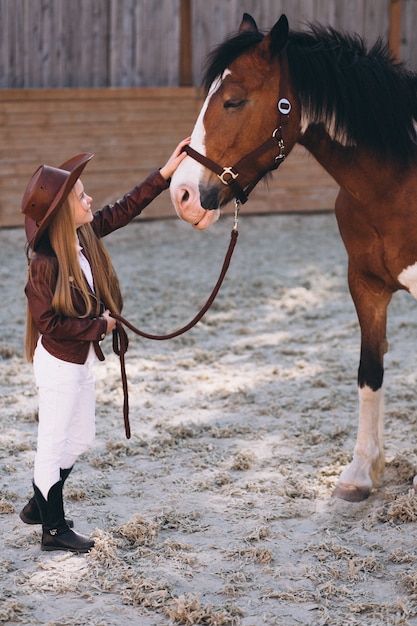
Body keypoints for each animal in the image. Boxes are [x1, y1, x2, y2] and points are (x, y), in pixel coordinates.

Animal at [169, 13, 417, 502]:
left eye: (234, 101)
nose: (182, 194)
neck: (399, 183)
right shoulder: (366, 286)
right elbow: (370, 371)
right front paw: (362, 471)